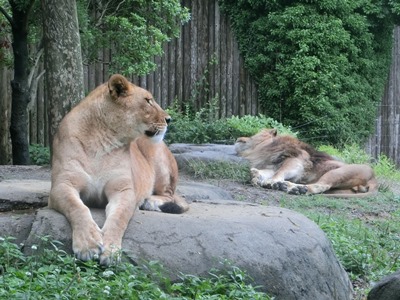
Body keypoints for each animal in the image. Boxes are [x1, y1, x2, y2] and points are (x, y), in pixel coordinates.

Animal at [48, 75, 189, 264]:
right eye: (148, 100)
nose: (169, 119)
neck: (101, 142)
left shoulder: (124, 190)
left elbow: (118, 218)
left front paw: (111, 251)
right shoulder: (62, 185)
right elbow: (77, 207)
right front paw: (88, 245)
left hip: (160, 159)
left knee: (169, 195)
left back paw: (149, 202)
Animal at [234, 128, 378, 197]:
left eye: (252, 136)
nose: (238, 138)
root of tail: (374, 179)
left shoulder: (295, 162)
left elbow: (278, 173)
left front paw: (270, 182)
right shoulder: (274, 165)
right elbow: (264, 172)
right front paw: (256, 176)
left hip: (337, 173)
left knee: (321, 186)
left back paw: (296, 189)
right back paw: (289, 186)